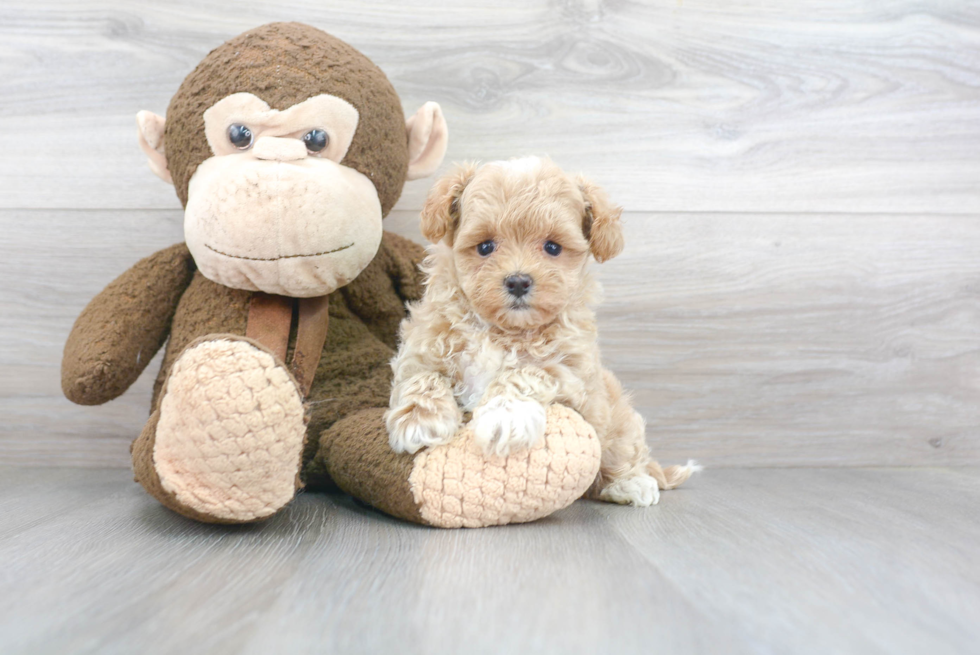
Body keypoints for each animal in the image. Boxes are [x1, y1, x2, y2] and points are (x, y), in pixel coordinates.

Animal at [382, 156, 696, 504]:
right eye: (485, 247)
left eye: (553, 247)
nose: (518, 281)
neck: (501, 329)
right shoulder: (422, 343)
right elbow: (423, 376)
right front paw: (419, 420)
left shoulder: (571, 372)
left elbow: (526, 372)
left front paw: (505, 416)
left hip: (617, 420)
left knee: (624, 455)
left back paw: (632, 483)